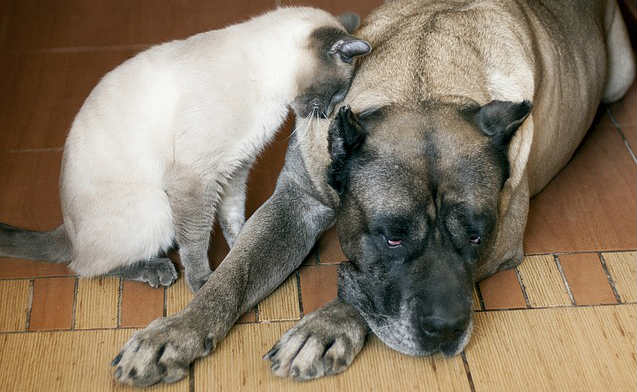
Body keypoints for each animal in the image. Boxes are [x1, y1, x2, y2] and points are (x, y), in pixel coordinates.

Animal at [0, 7, 370, 292]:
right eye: (338, 93)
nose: (329, 113)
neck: (269, 92)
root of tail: (66, 229)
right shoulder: (195, 180)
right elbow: (195, 240)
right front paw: (203, 281)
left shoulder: (234, 171)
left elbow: (233, 219)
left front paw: (243, 250)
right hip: (157, 209)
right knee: (85, 267)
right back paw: (158, 270)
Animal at [109, 0, 632, 386]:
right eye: (392, 237)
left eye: (476, 237)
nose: (446, 330)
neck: (424, 83)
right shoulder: (295, 203)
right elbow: (233, 274)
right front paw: (177, 330)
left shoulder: (503, 242)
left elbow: (363, 295)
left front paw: (324, 327)